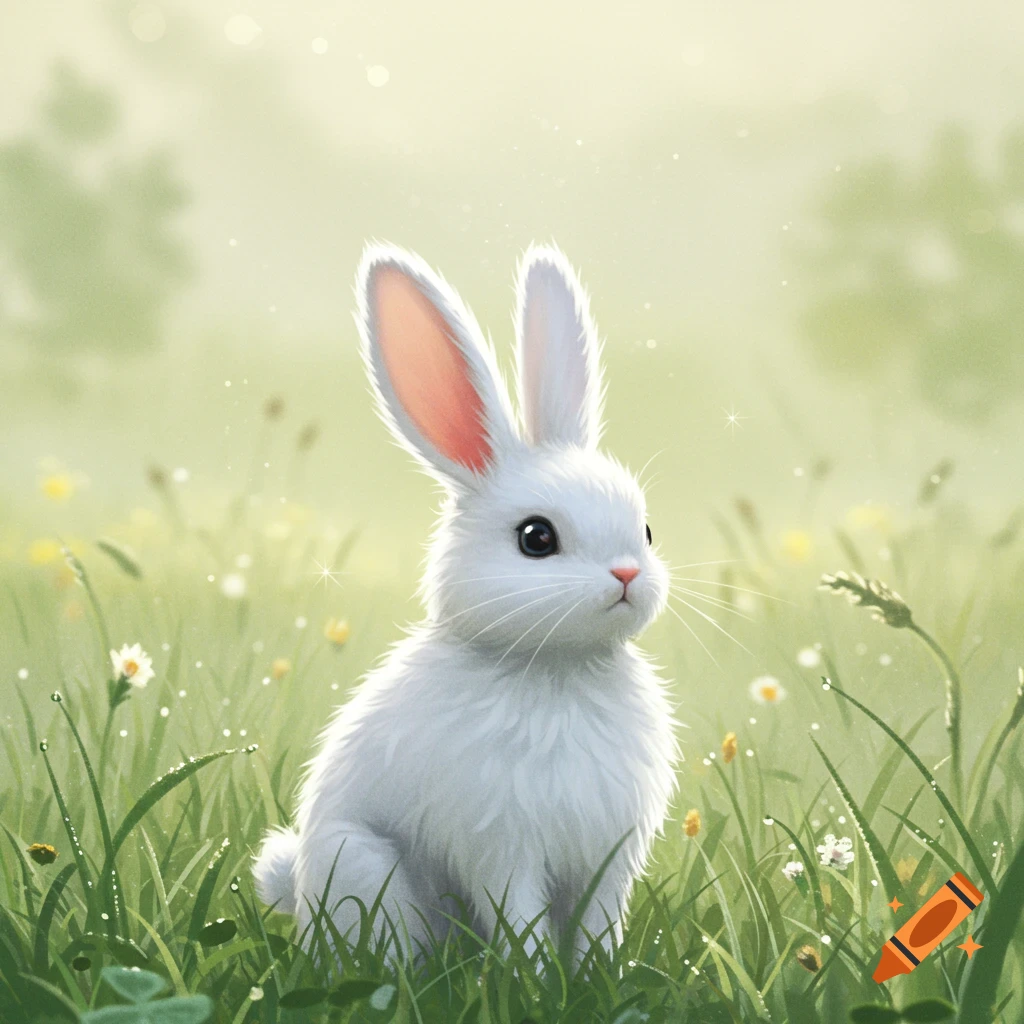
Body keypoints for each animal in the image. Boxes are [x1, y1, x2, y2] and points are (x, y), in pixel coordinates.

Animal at [253, 242, 680, 968]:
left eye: (646, 531)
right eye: (536, 538)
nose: (627, 574)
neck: (556, 672)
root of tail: (297, 887)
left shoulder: (609, 857)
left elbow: (598, 924)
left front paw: (597, 975)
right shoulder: (501, 845)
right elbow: (521, 918)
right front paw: (536, 978)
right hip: (364, 869)